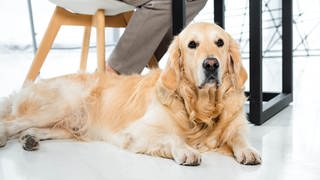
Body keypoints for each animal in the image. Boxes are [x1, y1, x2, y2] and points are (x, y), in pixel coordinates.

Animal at [0, 22, 262, 166]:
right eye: (192, 45)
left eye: (220, 43)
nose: (211, 64)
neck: (200, 106)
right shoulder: (138, 131)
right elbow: (172, 137)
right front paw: (187, 150)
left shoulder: (235, 125)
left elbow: (238, 136)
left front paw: (248, 150)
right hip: (63, 104)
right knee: (11, 122)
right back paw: (6, 135)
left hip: (71, 124)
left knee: (31, 129)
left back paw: (30, 138)